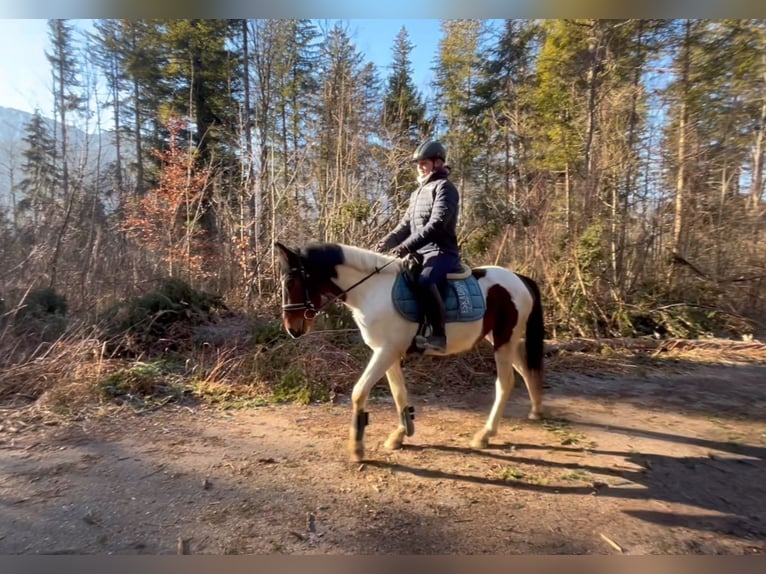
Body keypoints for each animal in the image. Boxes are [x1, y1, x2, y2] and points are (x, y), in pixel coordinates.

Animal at [276, 242, 544, 464]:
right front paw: (400, 434)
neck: (371, 290)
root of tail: (519, 278)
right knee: (524, 368)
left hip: (504, 341)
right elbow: (399, 393)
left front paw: (357, 448)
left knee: (505, 383)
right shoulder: (388, 353)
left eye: (291, 283)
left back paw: (485, 435)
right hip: (500, 340)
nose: (292, 329)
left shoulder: (385, 352)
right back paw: (536, 410)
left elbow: (359, 392)